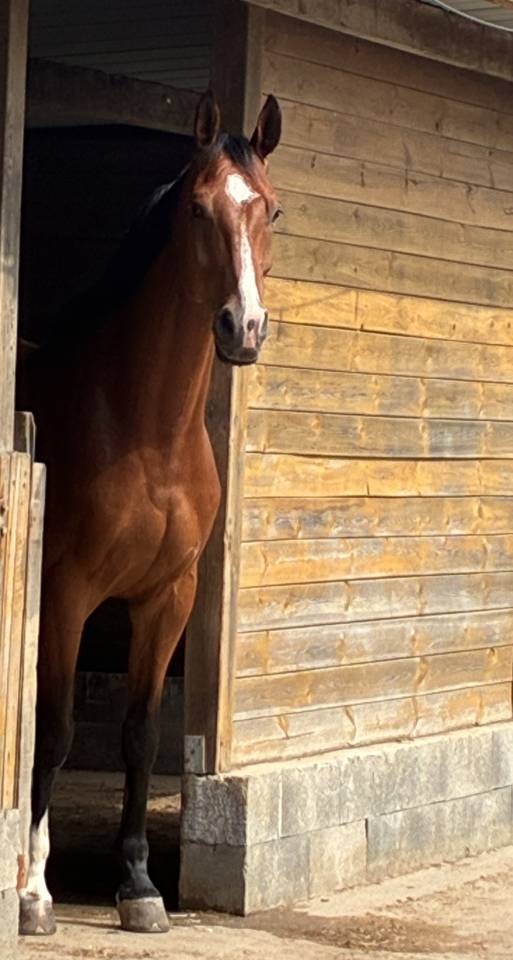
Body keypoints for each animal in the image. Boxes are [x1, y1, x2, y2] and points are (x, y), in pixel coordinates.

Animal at [18, 89, 282, 936]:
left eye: (270, 208)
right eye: (198, 208)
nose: (242, 329)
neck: (146, 431)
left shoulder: (167, 597)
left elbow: (140, 736)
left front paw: (137, 884)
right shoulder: (66, 595)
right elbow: (55, 731)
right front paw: (33, 893)